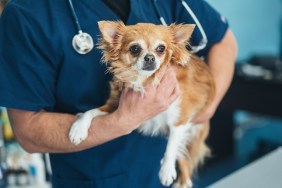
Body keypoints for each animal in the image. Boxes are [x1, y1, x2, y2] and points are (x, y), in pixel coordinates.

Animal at [69, 21, 215, 187]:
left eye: (161, 48)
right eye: (135, 49)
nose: (150, 57)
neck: (144, 80)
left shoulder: (179, 120)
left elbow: (171, 147)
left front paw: (166, 170)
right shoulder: (115, 107)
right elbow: (90, 112)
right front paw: (78, 129)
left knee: (186, 158)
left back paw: (182, 182)